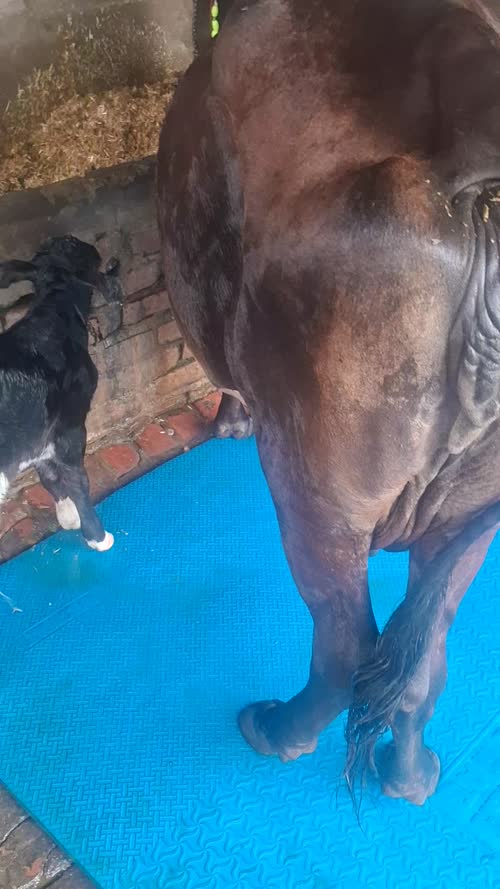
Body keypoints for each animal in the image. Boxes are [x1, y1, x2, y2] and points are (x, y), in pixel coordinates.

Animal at [0, 236, 120, 552]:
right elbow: (76, 480)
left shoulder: (37, 436)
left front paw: (67, 515)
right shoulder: (70, 426)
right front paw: (96, 536)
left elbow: (48, 476)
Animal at [157, 0, 500, 805]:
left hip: (319, 492)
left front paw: (230, 416)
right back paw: (411, 775)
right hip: (471, 512)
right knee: (424, 653)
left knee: (345, 646)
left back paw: (273, 730)